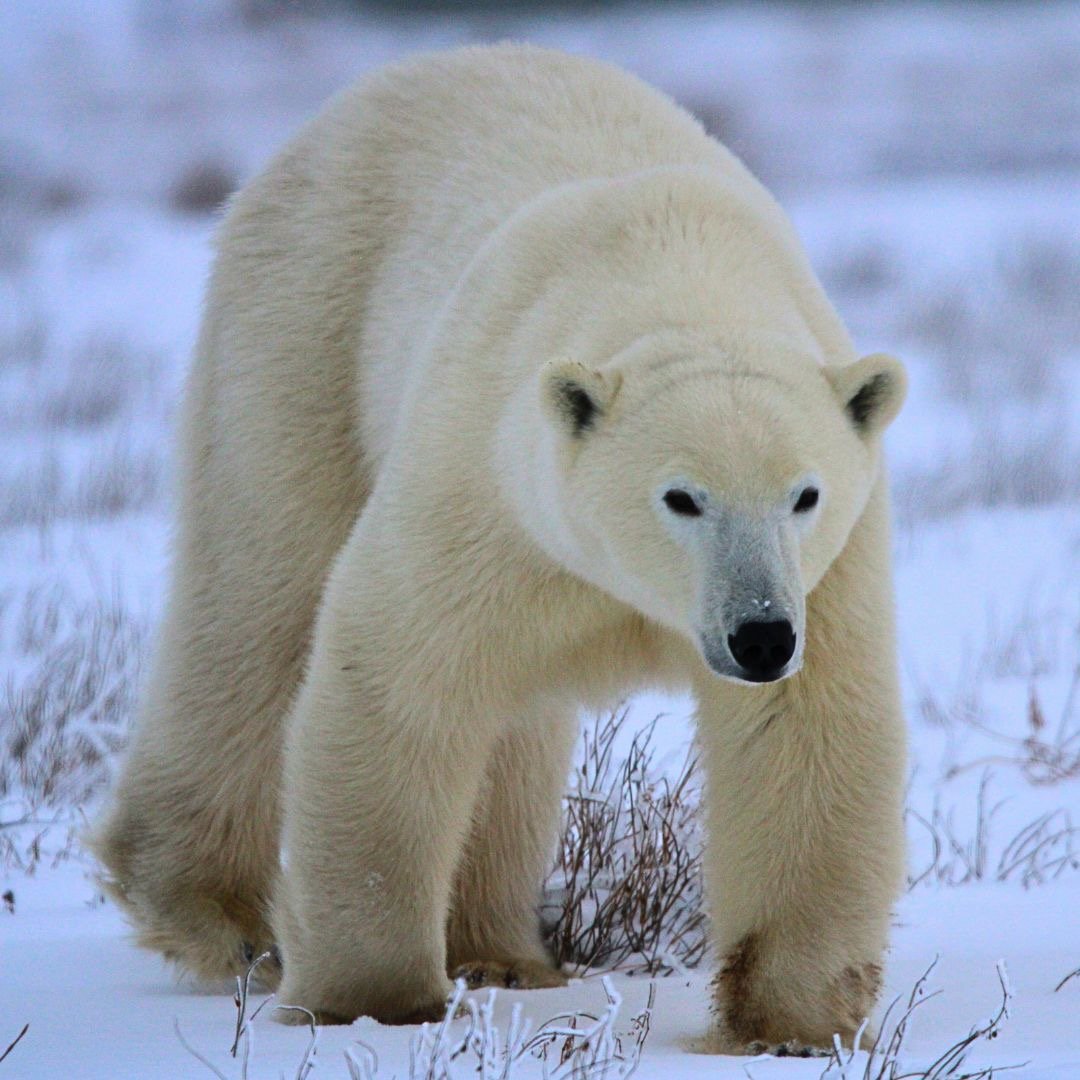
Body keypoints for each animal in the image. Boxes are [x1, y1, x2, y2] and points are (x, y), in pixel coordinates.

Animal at [90, 43, 908, 1054]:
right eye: (681, 497)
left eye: (805, 494)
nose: (758, 637)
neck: (679, 268)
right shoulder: (489, 483)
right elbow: (401, 674)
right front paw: (373, 997)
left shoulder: (826, 569)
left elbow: (803, 732)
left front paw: (785, 1022)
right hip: (302, 329)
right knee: (258, 601)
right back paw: (216, 919)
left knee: (511, 727)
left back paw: (501, 950)